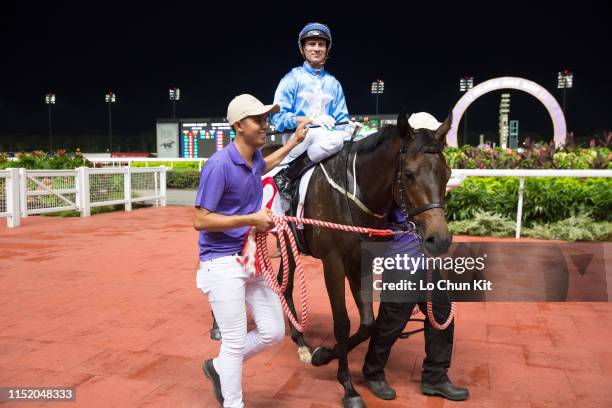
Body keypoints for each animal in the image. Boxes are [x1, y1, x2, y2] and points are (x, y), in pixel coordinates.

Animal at [278, 109, 454, 408]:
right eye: (409, 174)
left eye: (448, 173)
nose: (439, 239)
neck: (352, 192)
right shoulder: (333, 263)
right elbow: (342, 323)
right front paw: (348, 387)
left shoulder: (362, 260)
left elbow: (368, 324)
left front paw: (323, 355)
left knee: (283, 283)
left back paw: (301, 341)